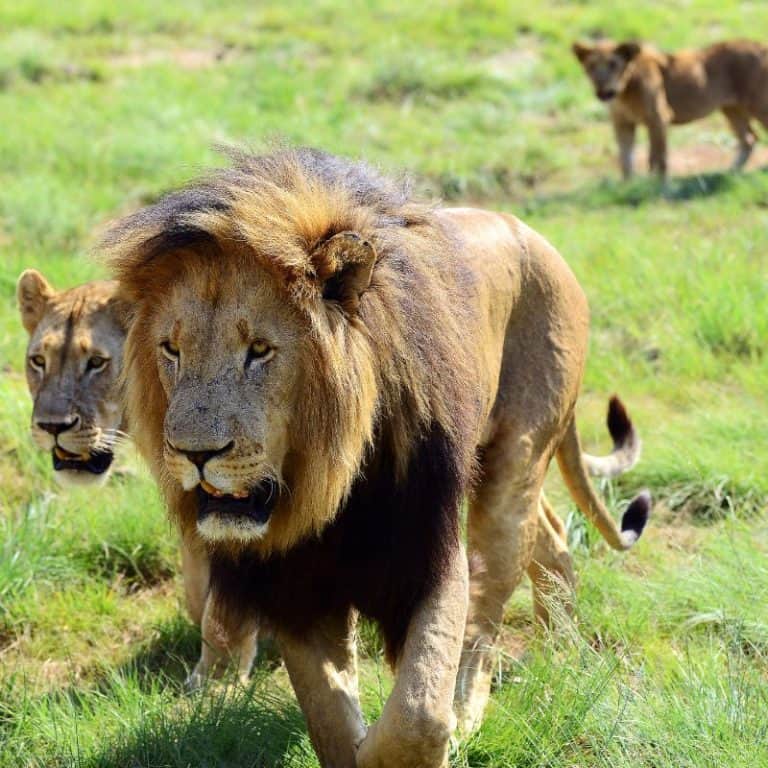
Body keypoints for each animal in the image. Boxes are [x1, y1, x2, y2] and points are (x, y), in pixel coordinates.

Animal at [103, 147, 650, 767]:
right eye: (171, 350)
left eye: (259, 351)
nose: (193, 454)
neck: (332, 481)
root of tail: (528, 230)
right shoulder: (296, 583)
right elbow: (330, 717)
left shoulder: (428, 551)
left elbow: (416, 714)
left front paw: (422, 736)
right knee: (552, 535)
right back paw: (561, 655)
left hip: (516, 456)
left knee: (488, 605)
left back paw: (479, 707)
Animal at [572, 39, 768, 179]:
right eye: (591, 66)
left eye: (613, 64)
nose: (602, 91)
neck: (624, 91)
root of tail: (760, 46)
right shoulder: (623, 124)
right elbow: (625, 159)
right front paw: (627, 186)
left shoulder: (658, 119)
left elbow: (657, 158)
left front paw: (657, 187)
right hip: (732, 109)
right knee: (749, 140)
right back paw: (729, 173)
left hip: (758, 106)